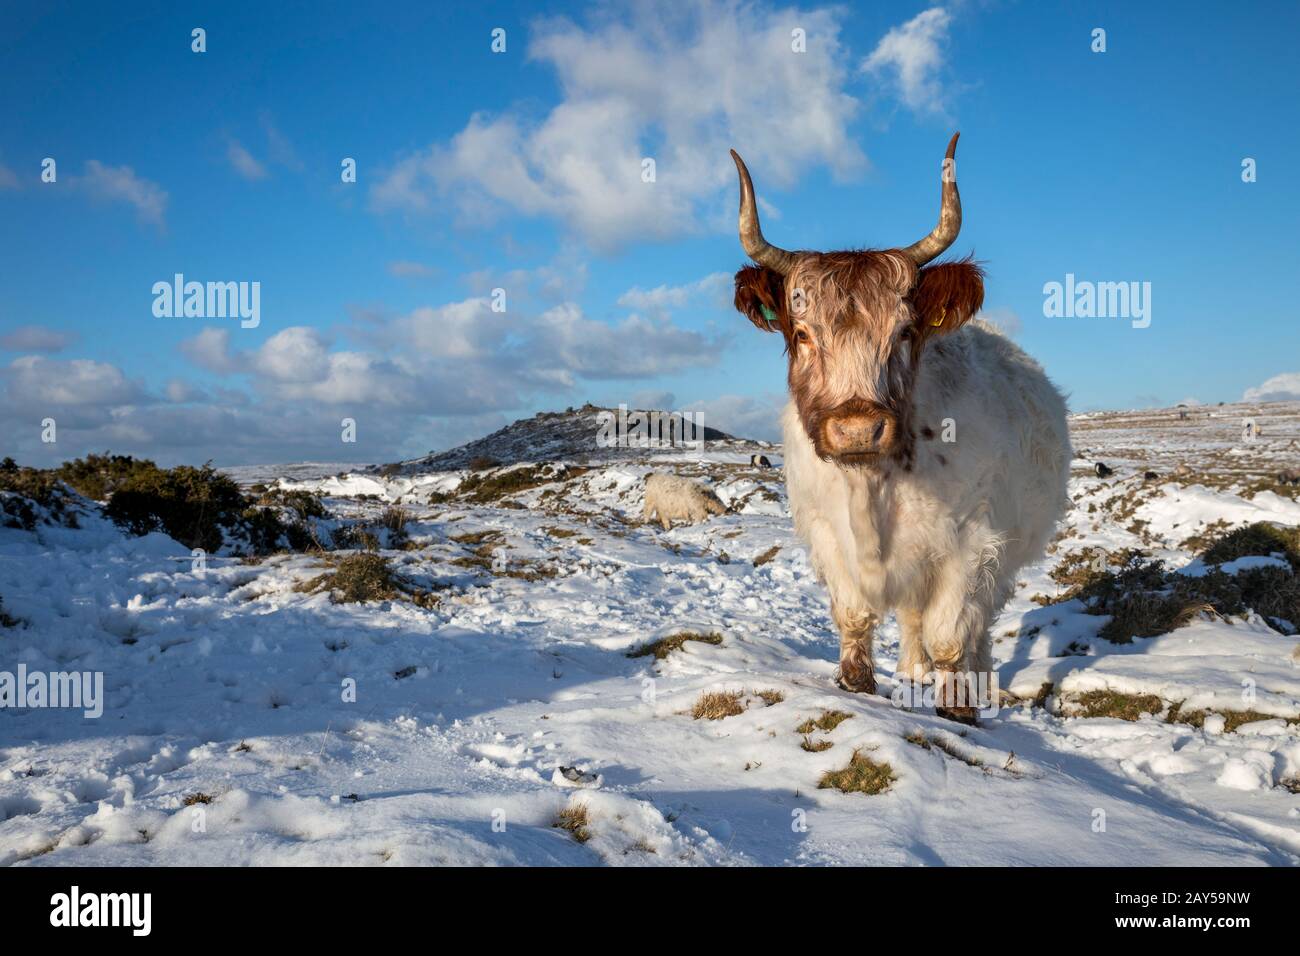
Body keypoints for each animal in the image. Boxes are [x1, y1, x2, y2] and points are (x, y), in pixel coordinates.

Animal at [729, 133, 1070, 723]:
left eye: (906, 331)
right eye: (802, 334)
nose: (858, 430)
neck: (875, 487)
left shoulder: (973, 542)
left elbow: (952, 634)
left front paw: (960, 707)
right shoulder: (827, 533)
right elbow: (855, 618)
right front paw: (860, 684)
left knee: (977, 626)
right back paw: (912, 672)